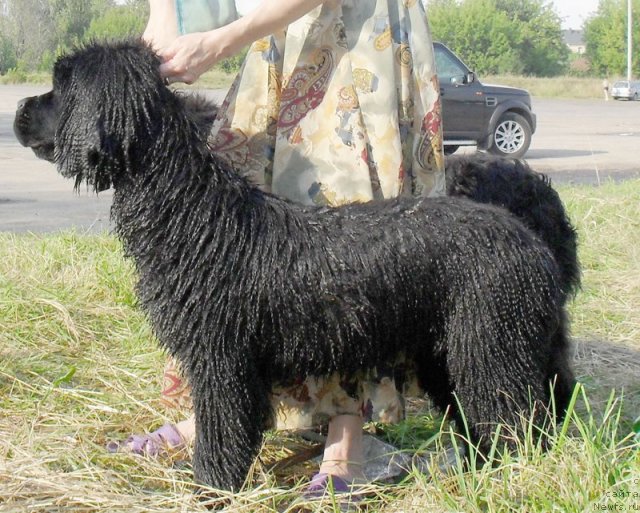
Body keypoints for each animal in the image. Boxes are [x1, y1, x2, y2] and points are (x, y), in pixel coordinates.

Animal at [15, 42, 576, 490]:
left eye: (61, 84)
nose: (18, 107)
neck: (192, 214)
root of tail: (532, 241)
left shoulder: (222, 362)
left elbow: (221, 439)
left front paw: (211, 489)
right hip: (454, 351)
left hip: (491, 349)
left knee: (516, 421)